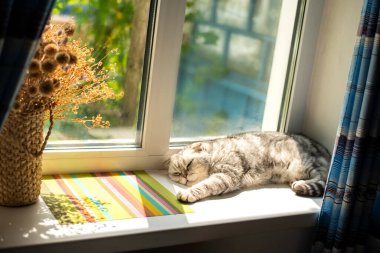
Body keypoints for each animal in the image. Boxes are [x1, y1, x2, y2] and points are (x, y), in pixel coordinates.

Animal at [168, 131, 332, 203]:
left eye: (189, 164)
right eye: (177, 174)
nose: (185, 176)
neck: (215, 153)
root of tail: (327, 152)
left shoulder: (227, 175)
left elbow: (204, 185)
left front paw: (188, 193)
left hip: (308, 164)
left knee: (322, 178)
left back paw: (301, 184)